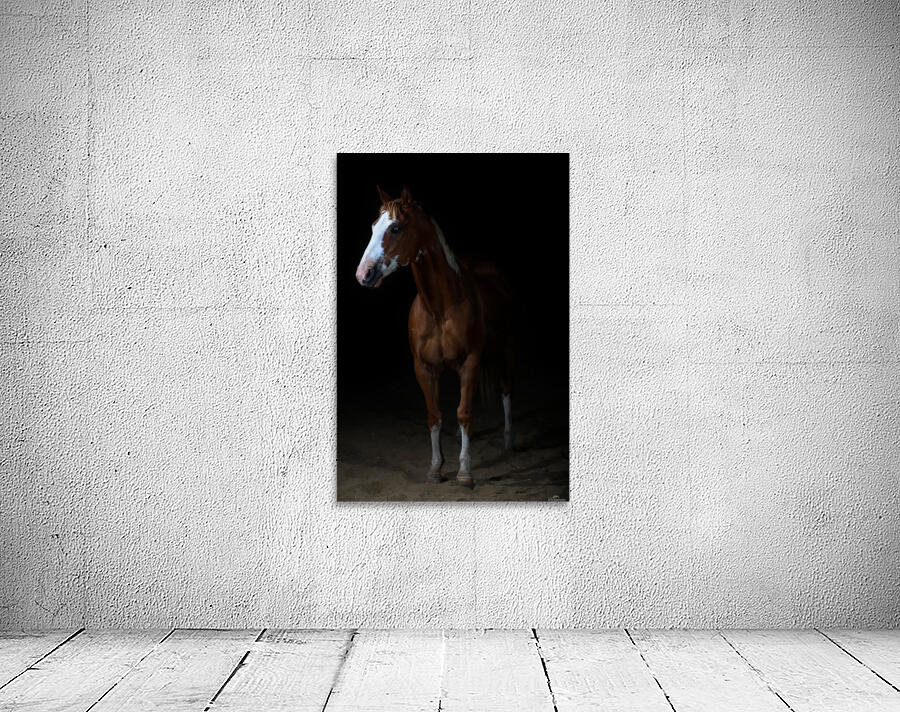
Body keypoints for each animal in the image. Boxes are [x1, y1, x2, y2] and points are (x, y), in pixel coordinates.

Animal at [354, 186, 515, 487]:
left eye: (395, 228)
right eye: (373, 226)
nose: (363, 274)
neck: (440, 308)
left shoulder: (470, 363)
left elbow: (463, 413)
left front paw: (464, 472)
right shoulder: (425, 368)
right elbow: (434, 415)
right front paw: (435, 468)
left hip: (502, 352)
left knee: (505, 390)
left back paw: (510, 441)